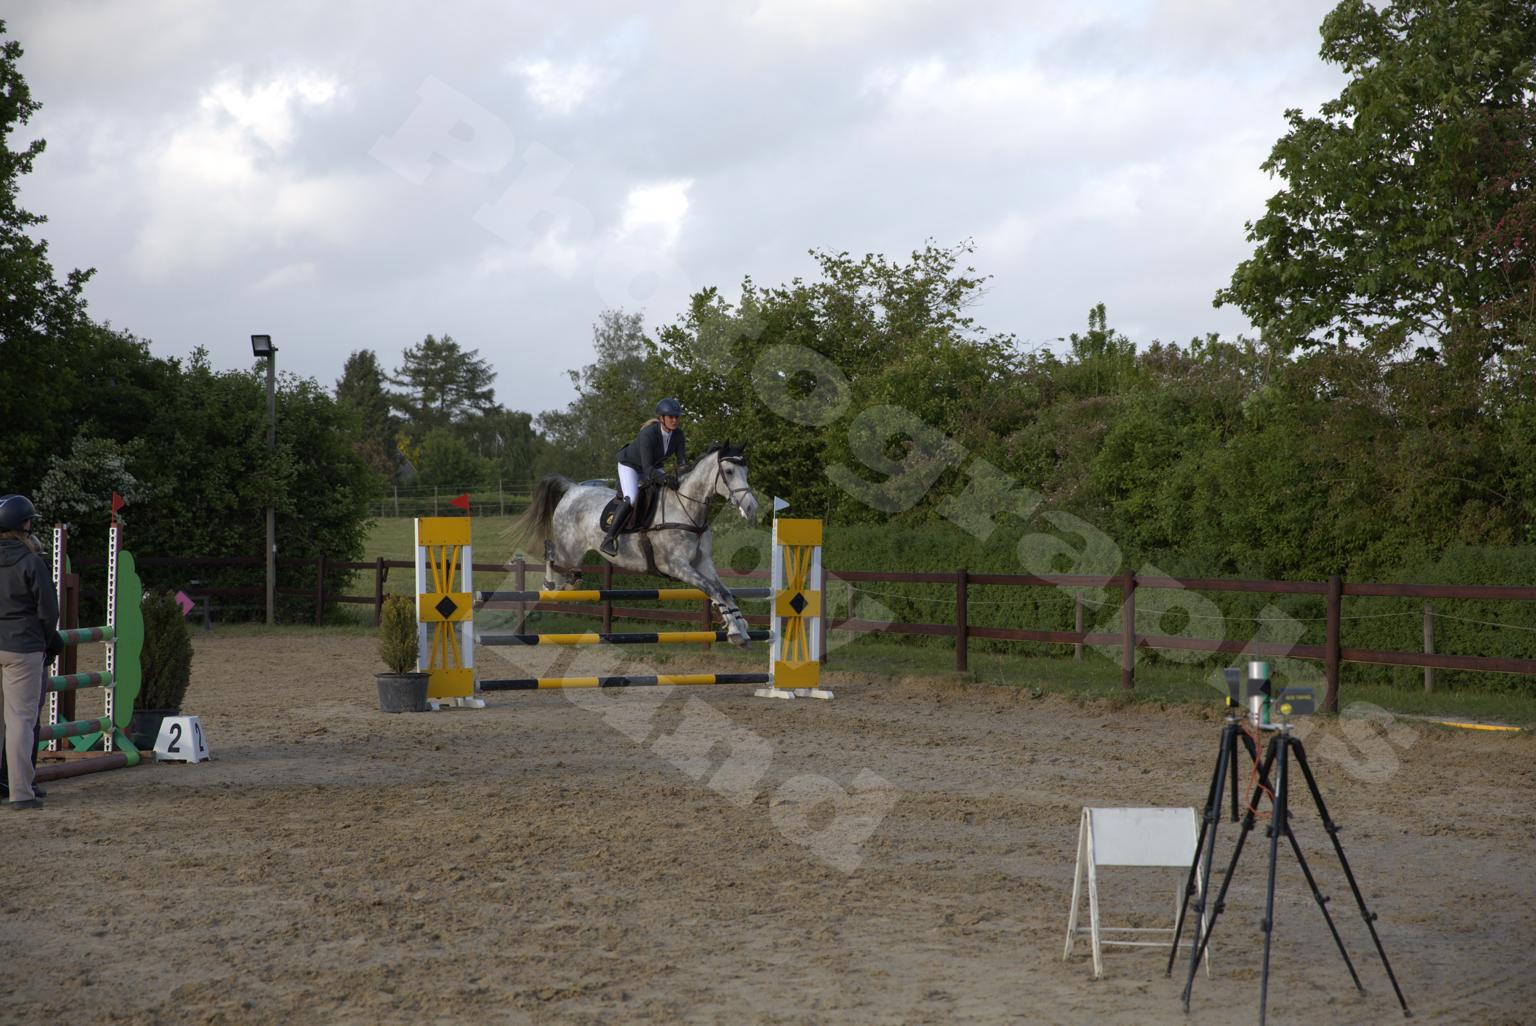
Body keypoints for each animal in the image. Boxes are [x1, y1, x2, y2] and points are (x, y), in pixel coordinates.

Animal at [507, 443, 761, 646]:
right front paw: (735, 630)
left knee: (566, 568)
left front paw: (740, 628)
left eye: (746, 471)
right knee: (550, 552)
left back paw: (568, 585)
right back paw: (549, 586)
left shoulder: (702, 562)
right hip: (568, 550)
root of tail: (573, 489)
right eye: (729, 471)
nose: (751, 508)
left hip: (572, 555)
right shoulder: (676, 566)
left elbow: (723, 591)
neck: (687, 510)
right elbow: (711, 589)